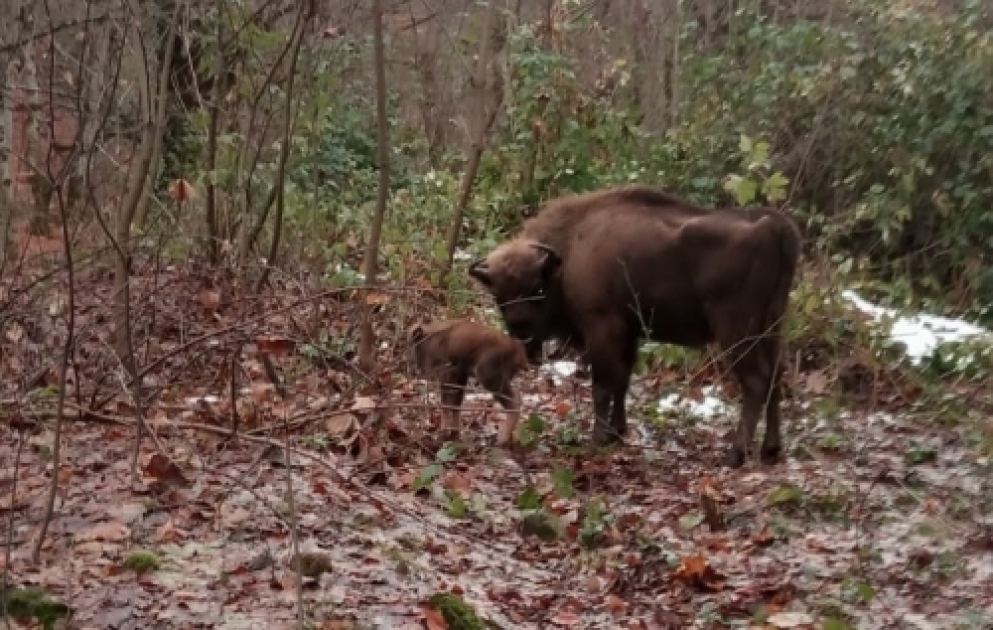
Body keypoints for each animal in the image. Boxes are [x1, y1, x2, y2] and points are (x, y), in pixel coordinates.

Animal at [467, 185, 802, 467]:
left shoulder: (602, 328)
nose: (520, 329)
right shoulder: (628, 334)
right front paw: (617, 433)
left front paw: (597, 439)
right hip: (773, 324)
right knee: (777, 374)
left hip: (737, 330)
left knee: (756, 381)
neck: (570, 251)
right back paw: (770, 450)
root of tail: (774, 226)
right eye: (499, 295)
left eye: (537, 288)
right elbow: (622, 381)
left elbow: (603, 385)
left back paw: (735, 455)